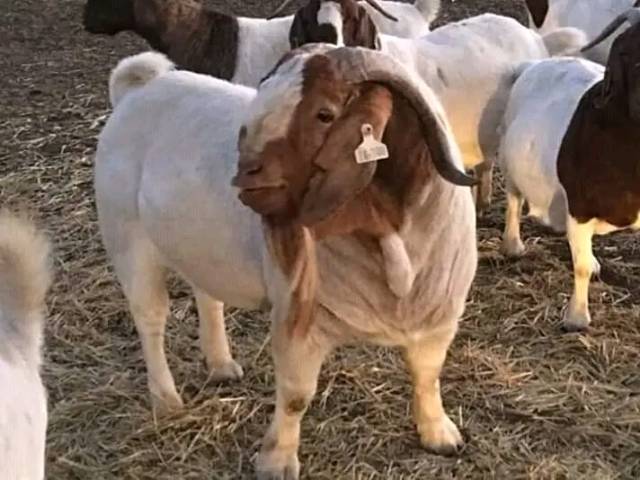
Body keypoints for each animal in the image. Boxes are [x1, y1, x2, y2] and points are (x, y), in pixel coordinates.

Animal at [95, 47, 476, 478]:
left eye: (324, 114)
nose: (246, 174)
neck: (386, 230)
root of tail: (138, 90)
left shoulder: (438, 317)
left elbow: (427, 375)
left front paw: (438, 433)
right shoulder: (300, 317)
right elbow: (296, 396)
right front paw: (277, 461)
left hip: (199, 247)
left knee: (207, 297)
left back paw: (221, 365)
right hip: (130, 243)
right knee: (150, 321)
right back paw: (166, 400)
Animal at [498, 8, 640, 332]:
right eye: (628, 53)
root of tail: (534, 65)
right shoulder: (579, 205)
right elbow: (581, 267)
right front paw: (576, 318)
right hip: (509, 159)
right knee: (514, 199)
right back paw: (513, 245)